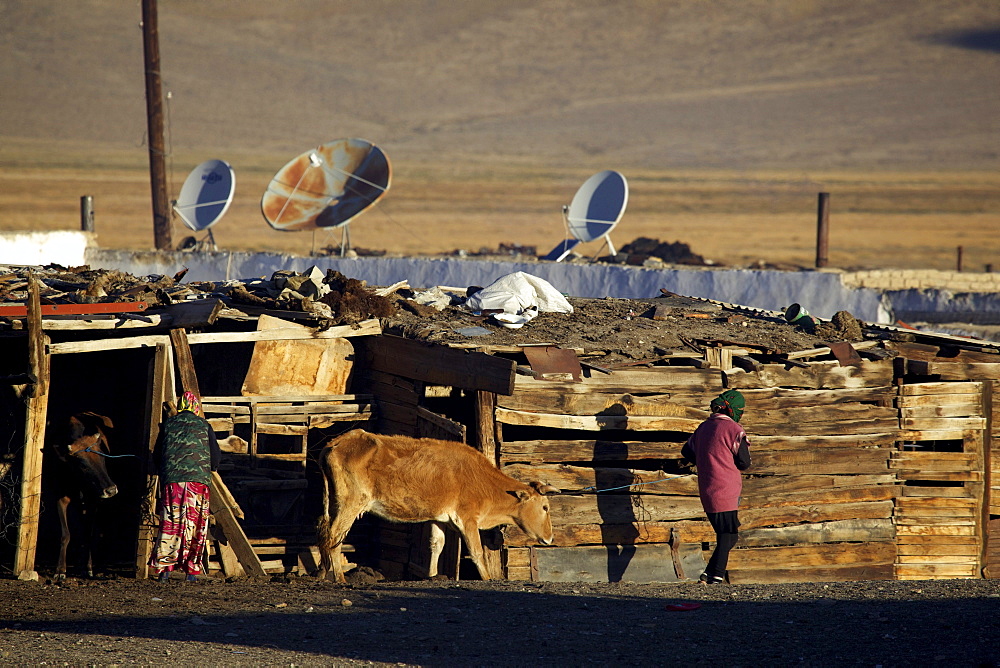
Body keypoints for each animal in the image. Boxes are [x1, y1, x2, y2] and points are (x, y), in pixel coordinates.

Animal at [46, 410, 119, 576]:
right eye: (83, 465)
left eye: (103, 458)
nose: (111, 490)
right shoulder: (60, 496)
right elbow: (66, 534)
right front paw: (60, 569)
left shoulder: (93, 500)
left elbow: (89, 534)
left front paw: (88, 567)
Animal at [318, 430, 560, 580]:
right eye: (545, 507)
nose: (550, 538)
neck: (485, 482)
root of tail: (336, 443)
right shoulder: (467, 518)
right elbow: (476, 551)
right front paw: (488, 578)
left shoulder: (439, 517)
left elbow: (436, 544)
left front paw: (432, 576)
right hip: (351, 503)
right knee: (334, 536)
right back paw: (339, 578)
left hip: (333, 502)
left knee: (323, 533)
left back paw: (322, 574)